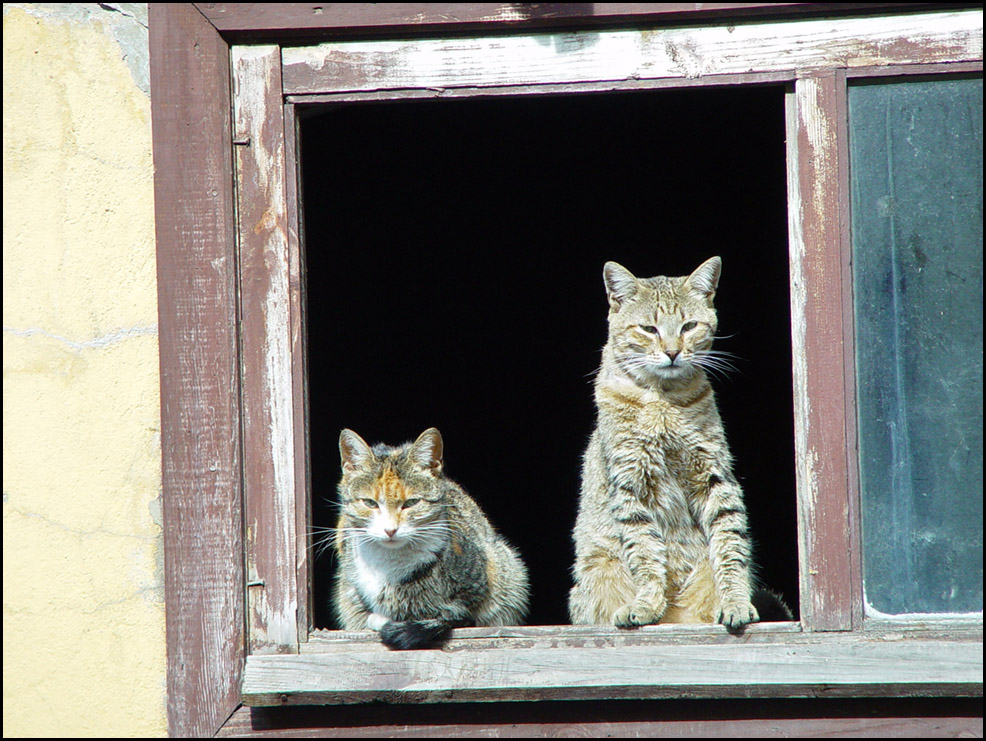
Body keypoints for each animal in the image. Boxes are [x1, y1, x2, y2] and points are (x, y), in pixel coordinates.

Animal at [568, 256, 784, 632]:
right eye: (648, 329)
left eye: (689, 326)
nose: (672, 352)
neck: (661, 399)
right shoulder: (631, 483)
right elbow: (645, 551)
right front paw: (647, 603)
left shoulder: (715, 476)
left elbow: (730, 547)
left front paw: (734, 601)